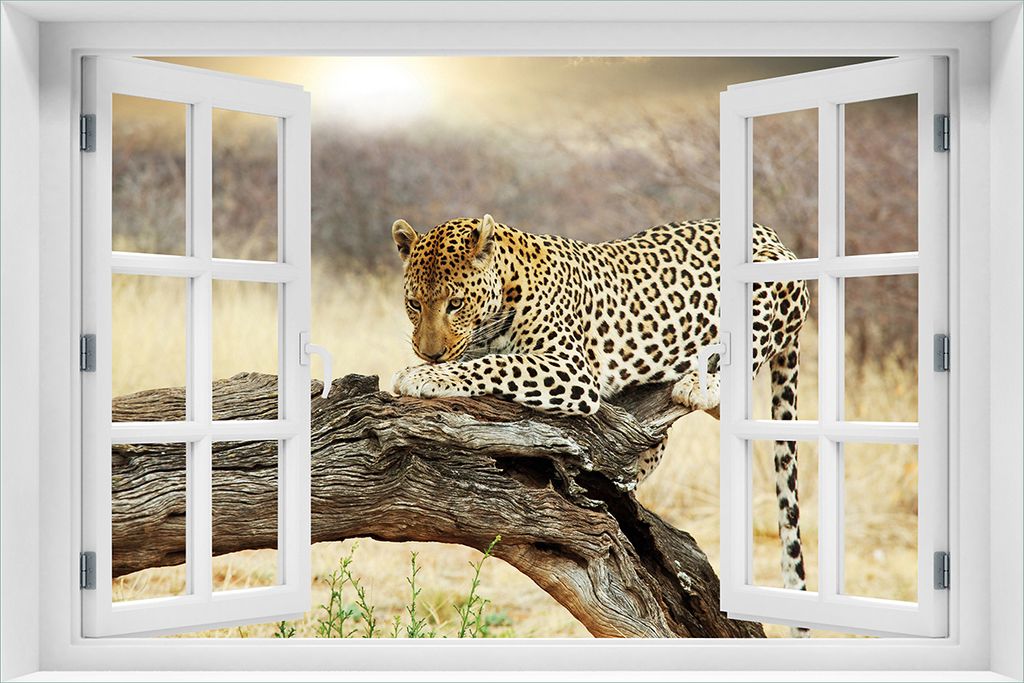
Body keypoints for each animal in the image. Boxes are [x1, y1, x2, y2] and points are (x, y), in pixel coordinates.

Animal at [389, 214, 811, 622]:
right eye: (413, 303)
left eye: (456, 303)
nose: (429, 353)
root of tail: (770, 232)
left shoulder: (571, 369)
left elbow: (496, 364)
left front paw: (422, 376)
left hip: (765, 283)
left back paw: (700, 383)